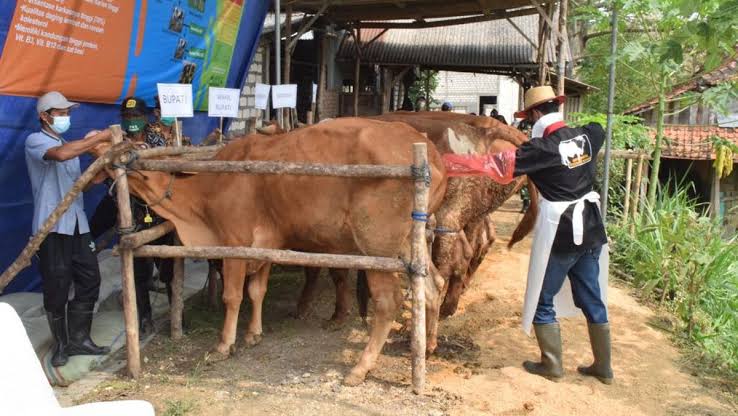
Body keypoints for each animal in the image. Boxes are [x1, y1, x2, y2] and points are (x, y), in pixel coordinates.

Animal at [95, 118, 446, 386]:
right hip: (410, 245)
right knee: (434, 286)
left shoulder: (234, 243)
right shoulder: (266, 245)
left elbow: (233, 296)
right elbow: (257, 290)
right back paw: (424, 346)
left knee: (389, 303)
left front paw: (224, 344)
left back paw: (360, 368)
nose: (100, 153)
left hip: (376, 250)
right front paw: (254, 333)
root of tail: (426, 148)